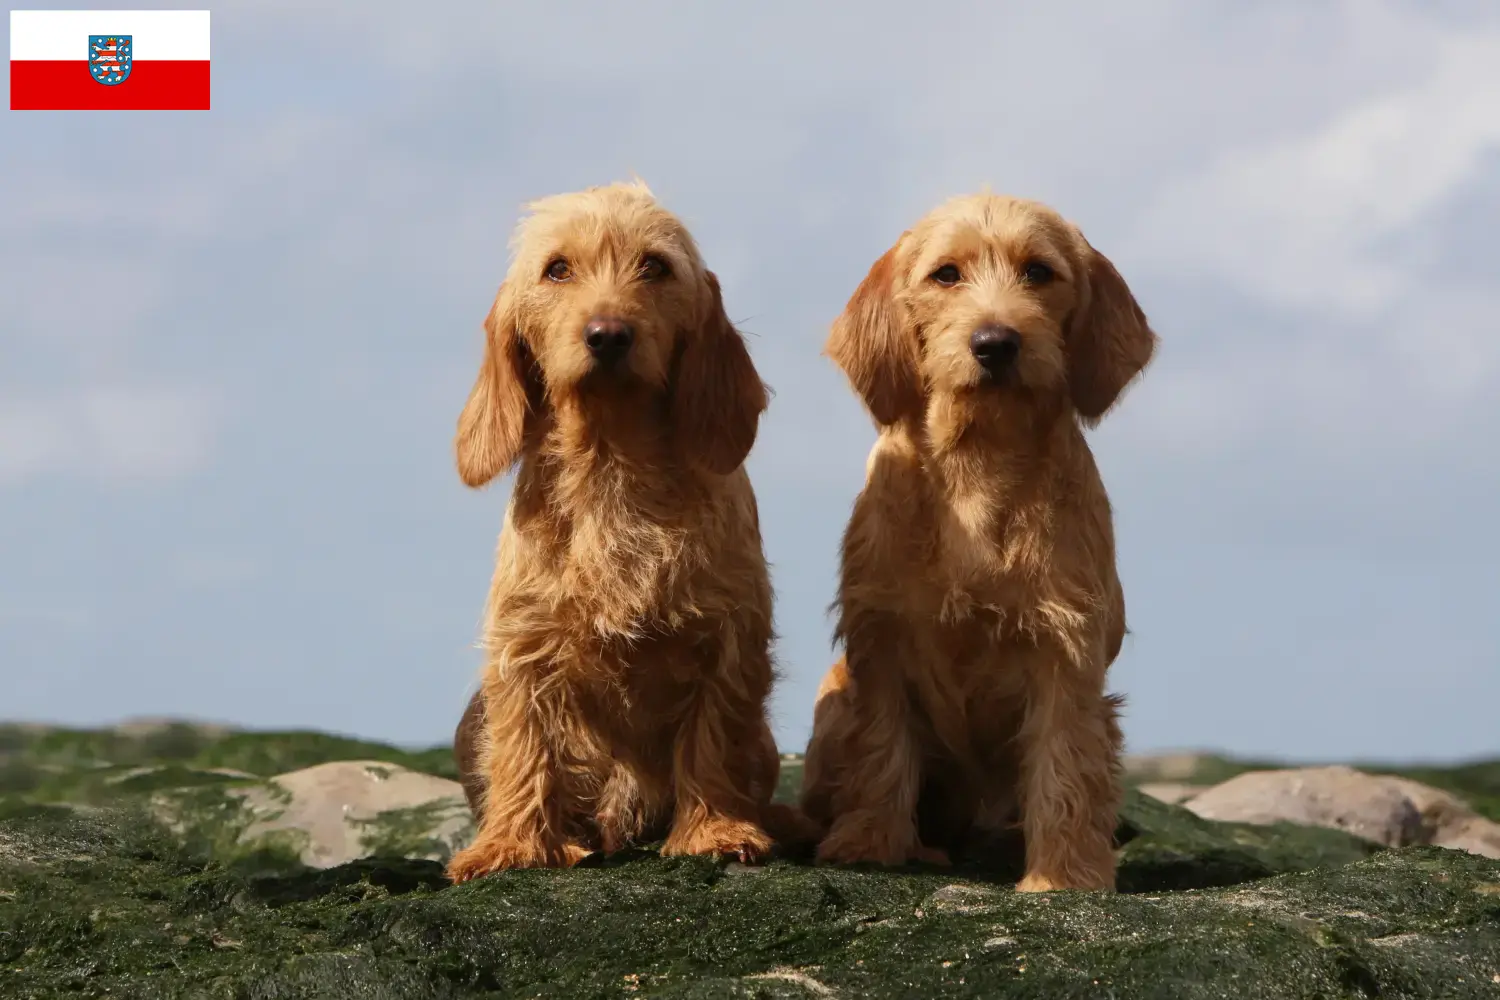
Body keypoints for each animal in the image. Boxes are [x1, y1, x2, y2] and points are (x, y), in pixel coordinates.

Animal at [441, 182, 804, 881]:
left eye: (655, 267)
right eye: (557, 268)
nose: (608, 335)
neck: (613, 466)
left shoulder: (727, 638)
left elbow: (713, 736)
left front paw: (714, 830)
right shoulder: (522, 643)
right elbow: (524, 743)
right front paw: (511, 845)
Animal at [798, 189, 1158, 893]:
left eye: (1039, 272)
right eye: (946, 275)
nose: (995, 343)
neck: (980, 459)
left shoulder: (1065, 651)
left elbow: (1066, 766)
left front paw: (1064, 877)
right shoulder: (882, 641)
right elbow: (882, 750)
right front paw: (871, 845)